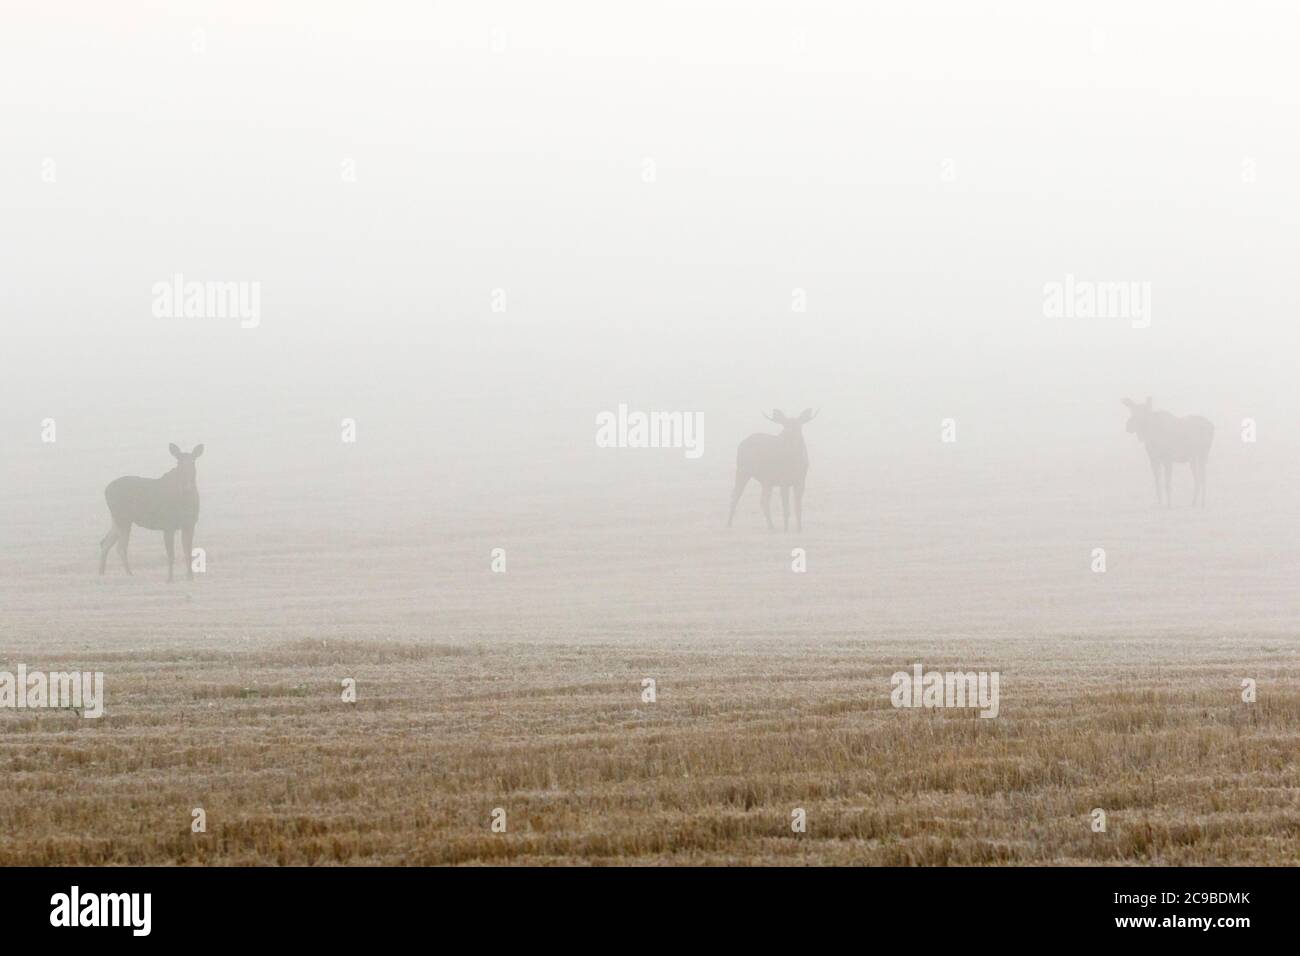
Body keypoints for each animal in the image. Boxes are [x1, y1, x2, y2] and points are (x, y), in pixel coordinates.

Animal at [99, 444, 203, 581]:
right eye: (178, 462)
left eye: (193, 461)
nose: (186, 485)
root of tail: (106, 490)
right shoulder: (168, 525)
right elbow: (171, 555)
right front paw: (169, 580)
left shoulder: (190, 524)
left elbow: (188, 552)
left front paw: (190, 578)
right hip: (123, 519)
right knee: (120, 547)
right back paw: (129, 574)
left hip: (117, 519)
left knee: (105, 542)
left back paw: (101, 573)